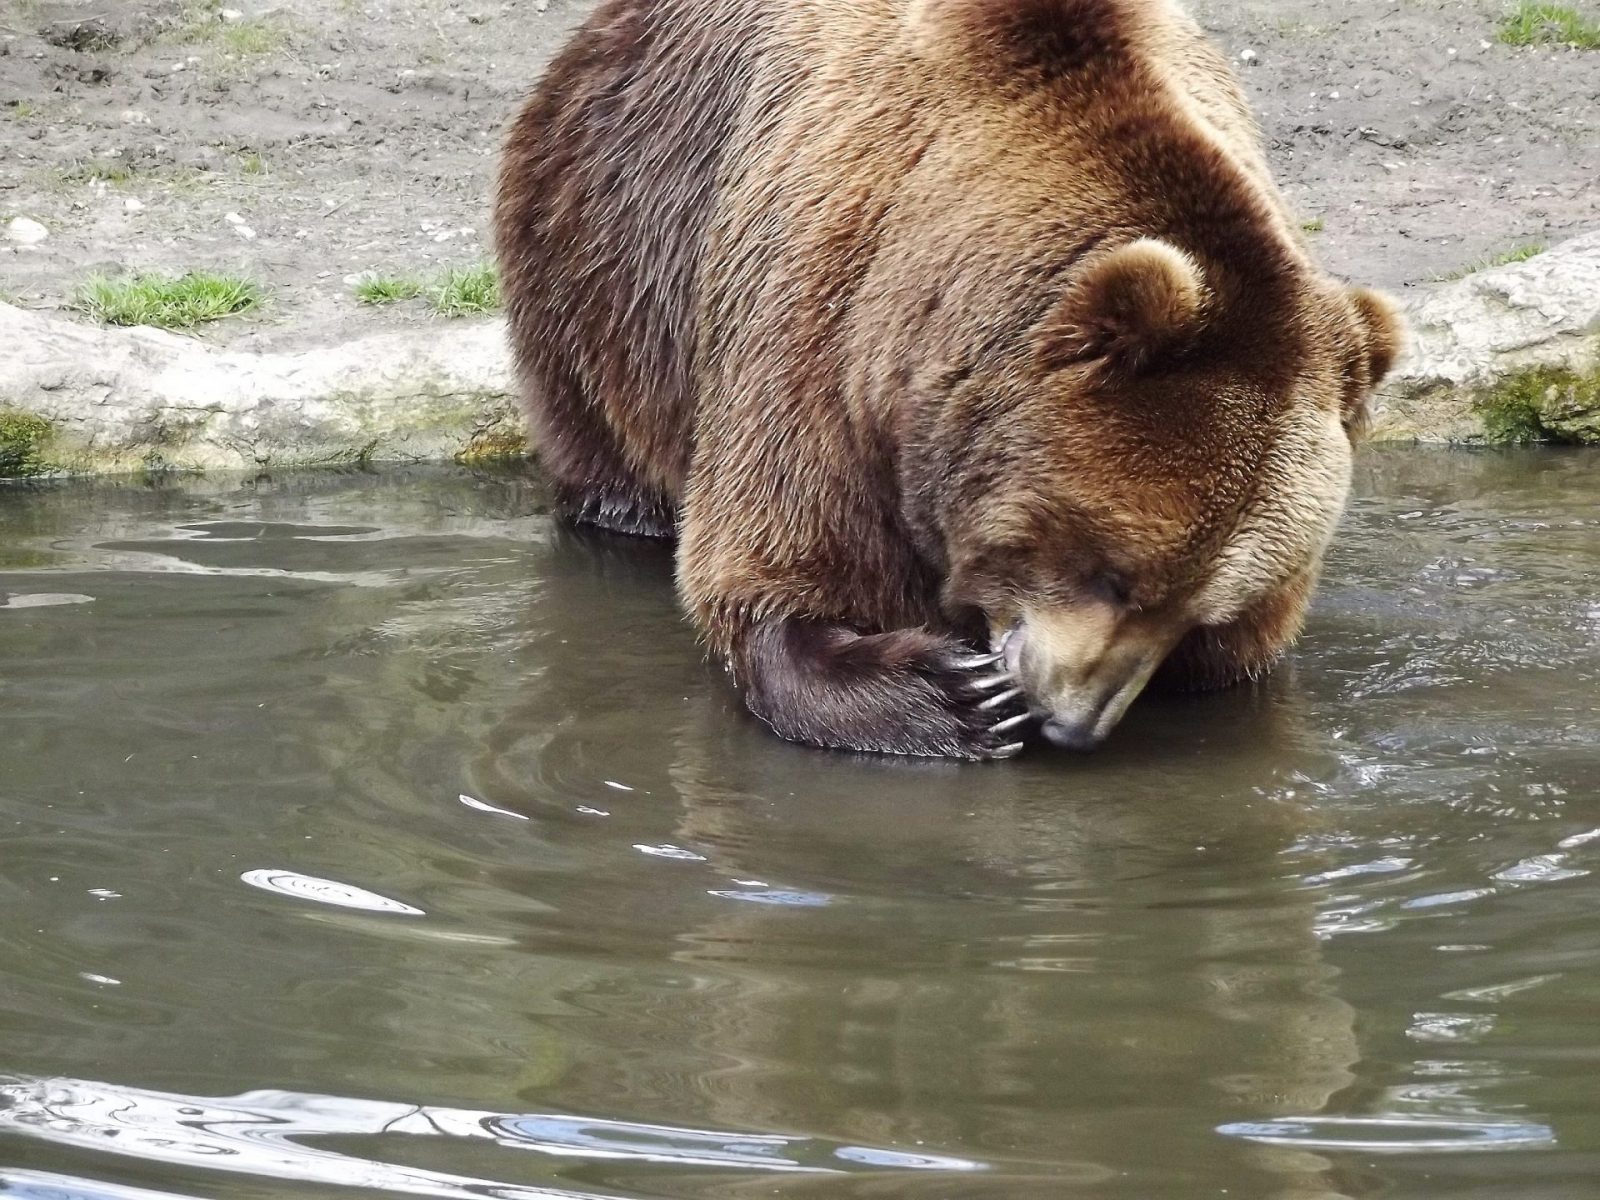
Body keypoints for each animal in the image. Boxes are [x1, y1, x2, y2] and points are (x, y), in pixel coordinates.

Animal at [493, 0, 1403, 760]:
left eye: (1197, 608)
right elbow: (771, 575)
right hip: (606, 242)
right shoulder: (821, 324)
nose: (1072, 722)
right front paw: (957, 696)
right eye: (1114, 573)